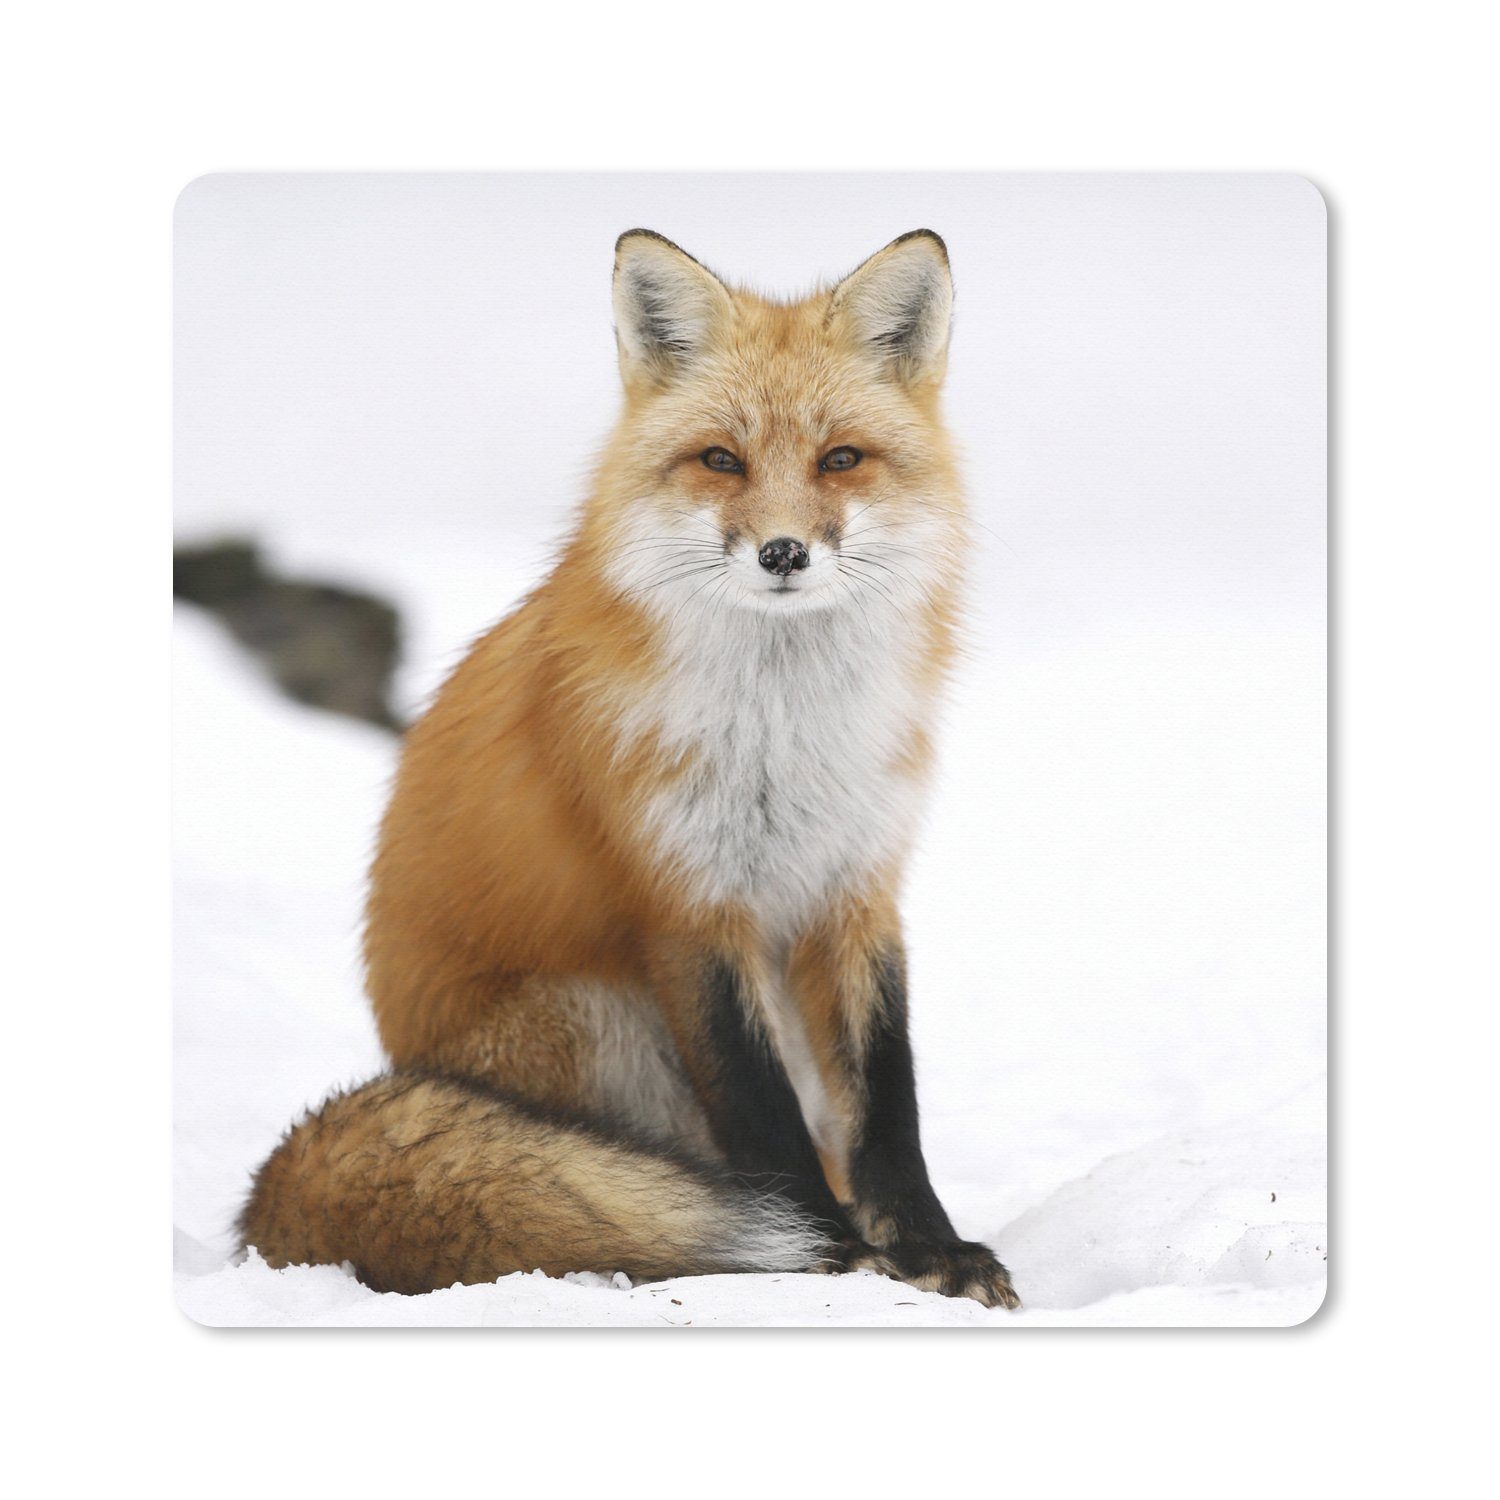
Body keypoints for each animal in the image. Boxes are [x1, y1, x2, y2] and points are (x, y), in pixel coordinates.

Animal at [239, 227, 1020, 1309]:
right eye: (722, 460)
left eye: (841, 460)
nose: (784, 552)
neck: (783, 735)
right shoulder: (685, 902)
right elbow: (759, 1111)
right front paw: (830, 1255)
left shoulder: (856, 887)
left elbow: (887, 1102)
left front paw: (929, 1249)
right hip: (595, 1018)